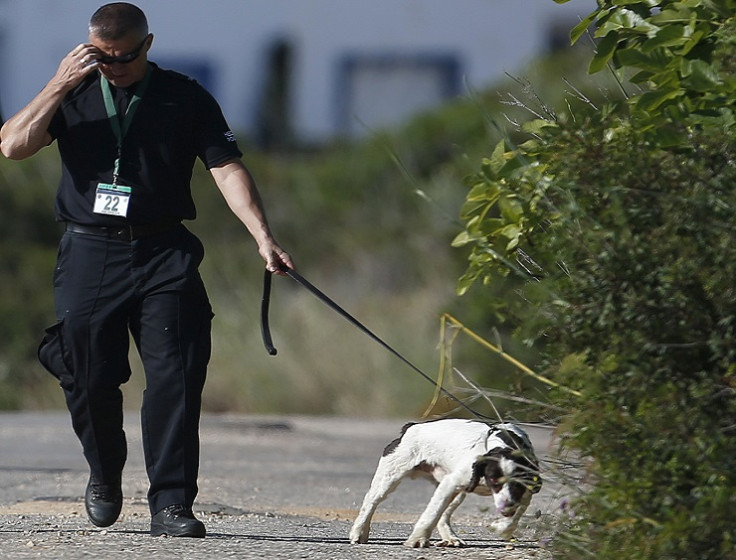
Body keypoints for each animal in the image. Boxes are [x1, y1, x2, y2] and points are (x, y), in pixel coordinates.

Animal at [350, 420, 540, 548]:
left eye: (518, 482)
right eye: (493, 479)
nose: (506, 507)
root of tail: (411, 427)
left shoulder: (525, 492)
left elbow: (515, 517)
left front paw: (501, 527)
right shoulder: (452, 482)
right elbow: (431, 513)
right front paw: (418, 539)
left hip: (454, 491)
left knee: (444, 514)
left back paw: (450, 538)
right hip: (390, 476)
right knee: (370, 502)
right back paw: (359, 532)